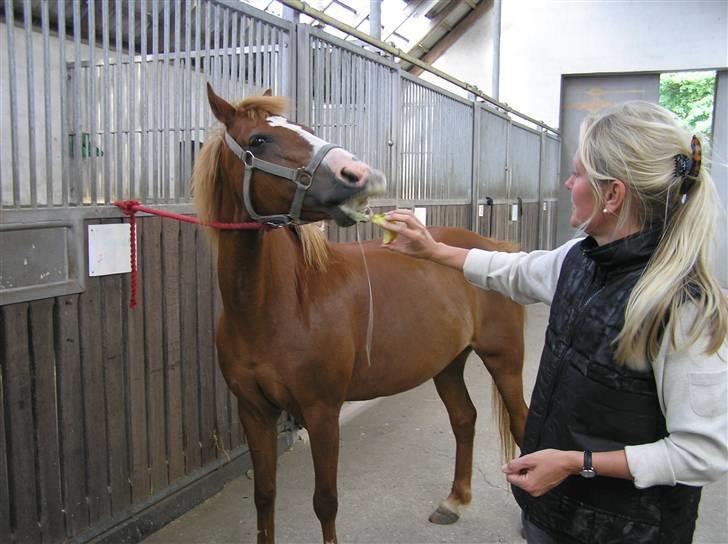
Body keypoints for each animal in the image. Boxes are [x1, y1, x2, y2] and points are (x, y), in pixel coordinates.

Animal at [191, 85, 528, 544]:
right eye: (258, 140)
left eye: (307, 127)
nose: (358, 174)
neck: (278, 306)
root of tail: (496, 249)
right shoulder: (254, 412)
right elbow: (264, 496)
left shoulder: (322, 412)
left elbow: (325, 502)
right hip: (447, 364)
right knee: (464, 419)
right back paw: (454, 501)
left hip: (503, 360)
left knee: (522, 423)